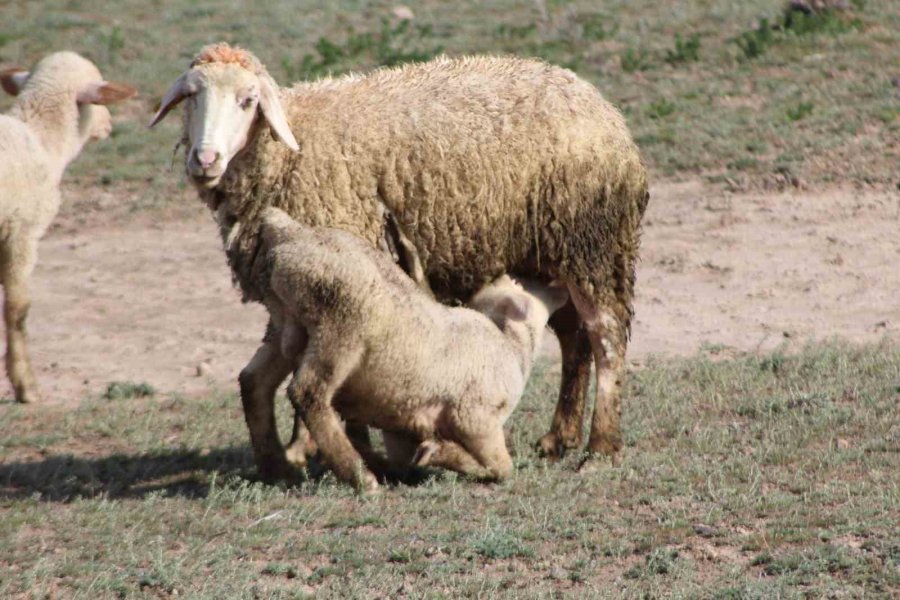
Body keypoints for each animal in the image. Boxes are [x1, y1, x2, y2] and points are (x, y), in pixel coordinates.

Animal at [0, 51, 137, 404]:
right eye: (98, 96)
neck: (43, 140)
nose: (109, 124)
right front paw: (26, 387)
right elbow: (18, 309)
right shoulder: (22, 231)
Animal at [151, 42, 652, 476]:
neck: (291, 151)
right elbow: (274, 371)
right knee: (573, 339)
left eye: (247, 101)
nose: (205, 158)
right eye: (191, 96)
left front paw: (321, 447)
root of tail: (601, 105)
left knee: (606, 338)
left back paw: (600, 447)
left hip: (593, 243)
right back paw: (559, 437)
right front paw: (299, 450)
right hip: (546, 255)